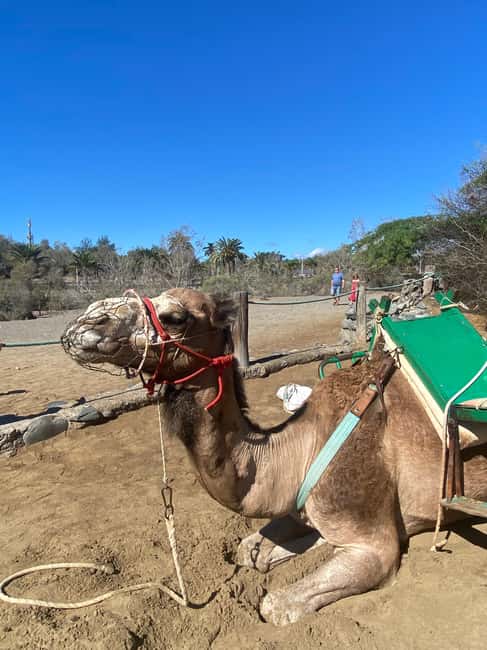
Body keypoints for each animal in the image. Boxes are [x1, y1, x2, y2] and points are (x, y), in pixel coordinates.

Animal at [62, 288, 487, 626]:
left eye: (175, 317)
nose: (87, 321)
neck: (305, 443)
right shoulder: (301, 505)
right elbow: (249, 551)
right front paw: (280, 550)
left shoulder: (372, 542)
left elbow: (274, 604)